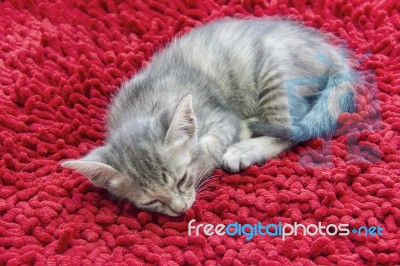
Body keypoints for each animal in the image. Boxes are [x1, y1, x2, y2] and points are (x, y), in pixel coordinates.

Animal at [61, 17, 354, 216]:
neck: (141, 106)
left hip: (275, 74)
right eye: (152, 202)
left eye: (182, 179)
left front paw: (207, 153)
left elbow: (211, 143)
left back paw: (244, 148)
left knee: (289, 131)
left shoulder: (221, 116)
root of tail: (326, 48)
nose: (181, 209)